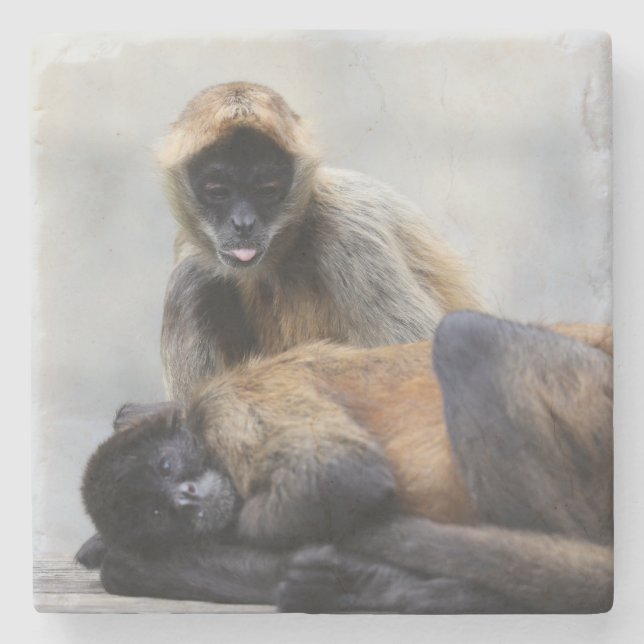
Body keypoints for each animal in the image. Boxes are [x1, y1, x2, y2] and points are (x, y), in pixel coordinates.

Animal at [77, 312, 612, 613]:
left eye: (167, 467)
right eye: (156, 511)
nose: (185, 500)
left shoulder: (231, 405)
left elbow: (343, 475)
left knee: (467, 337)